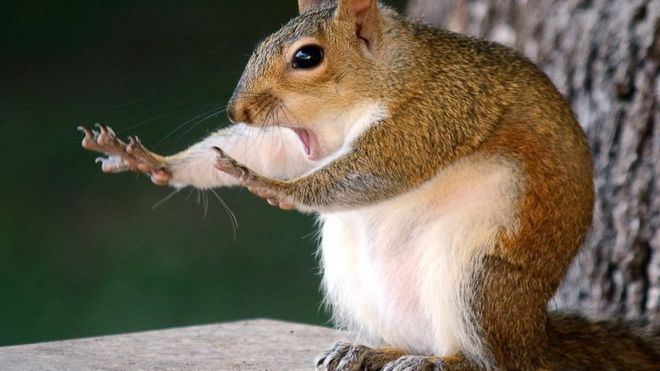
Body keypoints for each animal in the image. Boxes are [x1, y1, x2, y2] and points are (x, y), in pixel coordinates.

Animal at [78, 1, 660, 370]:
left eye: (307, 57)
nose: (236, 111)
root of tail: (531, 340)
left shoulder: (437, 113)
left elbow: (380, 169)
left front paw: (270, 186)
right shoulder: (301, 139)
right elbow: (267, 149)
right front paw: (153, 161)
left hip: (478, 277)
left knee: (488, 362)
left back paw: (441, 364)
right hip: (361, 281)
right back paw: (372, 352)